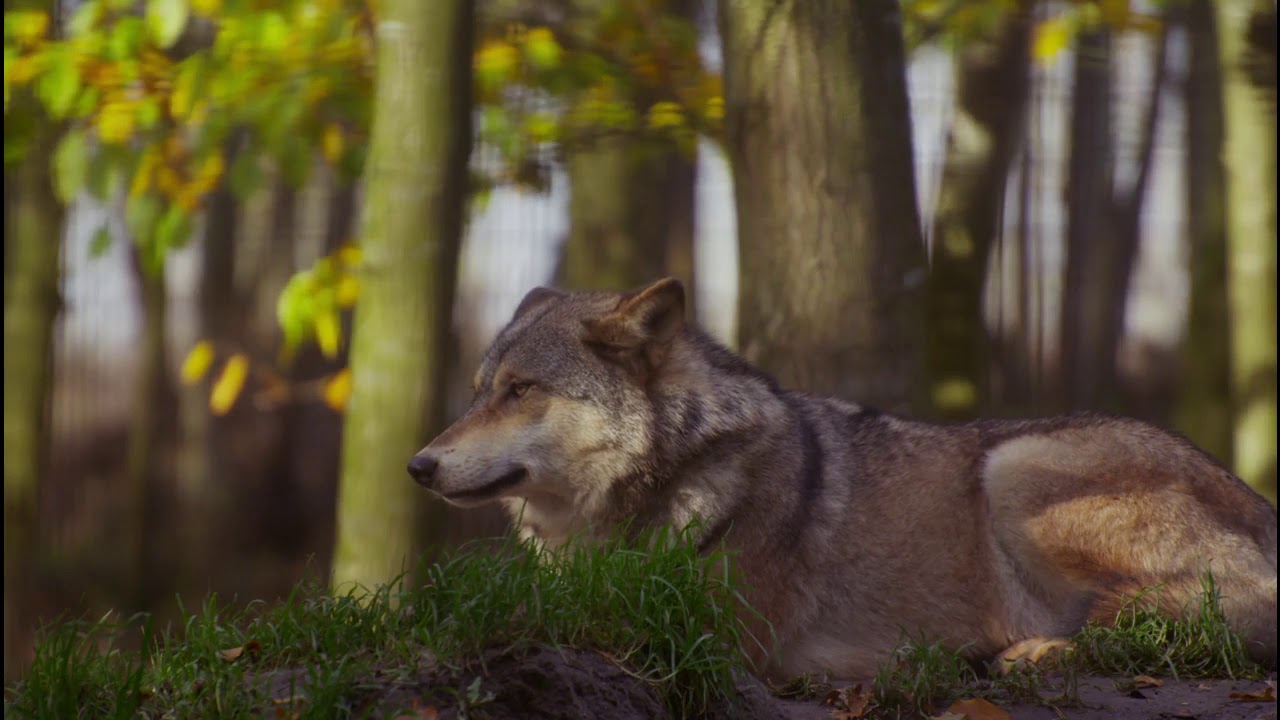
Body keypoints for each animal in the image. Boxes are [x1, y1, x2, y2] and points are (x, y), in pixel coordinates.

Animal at [407, 277, 1278, 679]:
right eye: (481, 389)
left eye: (521, 390)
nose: (418, 465)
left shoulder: (708, 634)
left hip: (1013, 467)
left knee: (1172, 620)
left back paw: (1027, 650)